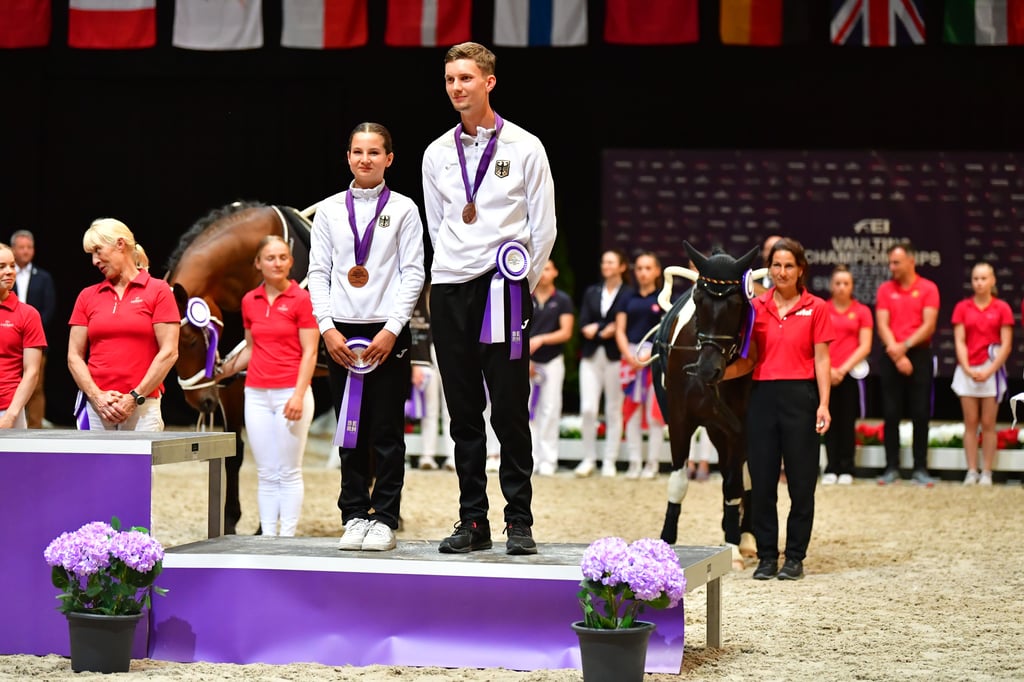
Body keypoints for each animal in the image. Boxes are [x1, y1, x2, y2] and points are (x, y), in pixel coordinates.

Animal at [651, 241, 765, 565]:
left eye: (738, 304)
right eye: (698, 300)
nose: (707, 369)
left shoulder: (740, 428)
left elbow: (734, 484)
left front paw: (734, 544)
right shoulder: (679, 420)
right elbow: (678, 481)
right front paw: (667, 540)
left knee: (744, 478)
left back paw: (745, 537)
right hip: (714, 429)